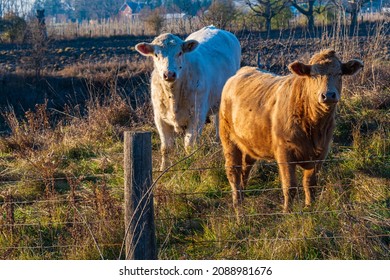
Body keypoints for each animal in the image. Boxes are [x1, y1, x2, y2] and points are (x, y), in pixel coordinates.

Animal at [135, 26, 241, 170]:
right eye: (156, 54)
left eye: (180, 53)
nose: (169, 74)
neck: (173, 96)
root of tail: (213, 27)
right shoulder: (160, 118)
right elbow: (166, 148)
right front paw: (164, 169)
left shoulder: (197, 116)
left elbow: (189, 146)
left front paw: (190, 166)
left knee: (219, 122)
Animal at [219, 49, 362, 217]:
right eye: (313, 74)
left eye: (339, 73)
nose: (328, 95)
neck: (314, 125)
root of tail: (241, 71)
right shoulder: (284, 152)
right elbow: (290, 186)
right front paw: (287, 212)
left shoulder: (321, 152)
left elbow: (310, 184)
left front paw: (310, 208)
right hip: (228, 138)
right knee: (233, 171)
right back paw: (238, 207)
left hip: (250, 142)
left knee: (245, 168)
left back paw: (242, 197)